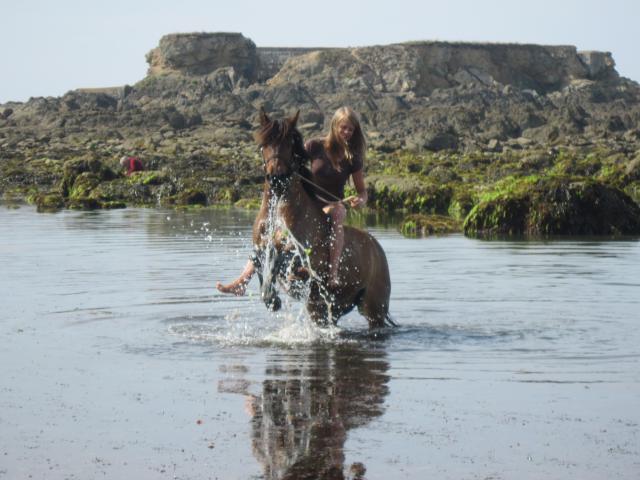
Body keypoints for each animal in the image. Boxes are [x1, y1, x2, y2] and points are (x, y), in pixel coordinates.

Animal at [251, 109, 396, 328]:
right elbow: (261, 261)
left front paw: (273, 295)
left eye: (290, 143)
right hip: (332, 308)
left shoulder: (306, 265)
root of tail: (377, 249)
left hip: (374, 310)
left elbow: (285, 259)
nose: (277, 178)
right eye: (264, 143)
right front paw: (270, 297)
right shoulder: (260, 248)